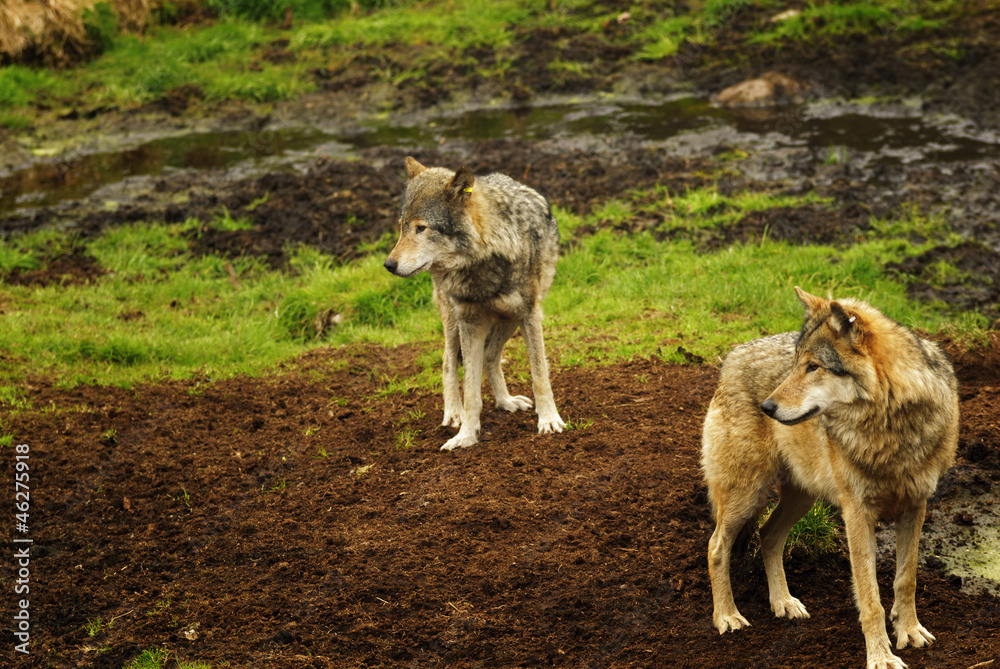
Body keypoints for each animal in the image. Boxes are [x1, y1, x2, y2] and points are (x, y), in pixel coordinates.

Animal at [384, 156, 566, 451]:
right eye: (402, 226)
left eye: (421, 228)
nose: (388, 265)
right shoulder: (469, 323)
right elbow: (470, 391)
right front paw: (466, 435)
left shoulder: (530, 315)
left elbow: (540, 375)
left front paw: (549, 420)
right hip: (454, 322)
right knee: (448, 361)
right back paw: (453, 413)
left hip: (509, 320)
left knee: (491, 357)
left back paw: (506, 402)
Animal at [701, 286, 959, 669]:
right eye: (796, 363)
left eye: (813, 367)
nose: (766, 408)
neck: (888, 430)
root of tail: (732, 355)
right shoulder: (856, 514)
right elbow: (870, 596)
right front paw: (881, 656)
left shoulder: (916, 506)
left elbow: (906, 579)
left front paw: (909, 631)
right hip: (746, 496)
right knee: (716, 545)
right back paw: (727, 617)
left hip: (801, 497)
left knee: (767, 535)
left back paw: (783, 603)